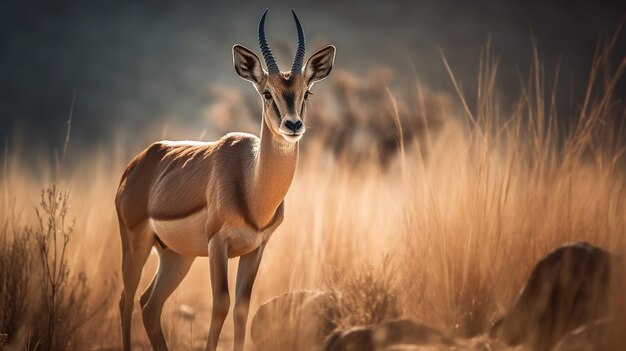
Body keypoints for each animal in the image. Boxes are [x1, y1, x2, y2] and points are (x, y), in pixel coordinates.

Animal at [114, 8, 334, 351]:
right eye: (267, 92)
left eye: (306, 92)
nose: (293, 125)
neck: (252, 186)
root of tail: (137, 163)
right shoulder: (218, 244)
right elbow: (220, 305)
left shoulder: (256, 249)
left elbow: (241, 307)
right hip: (136, 244)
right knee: (126, 300)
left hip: (176, 256)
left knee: (149, 305)